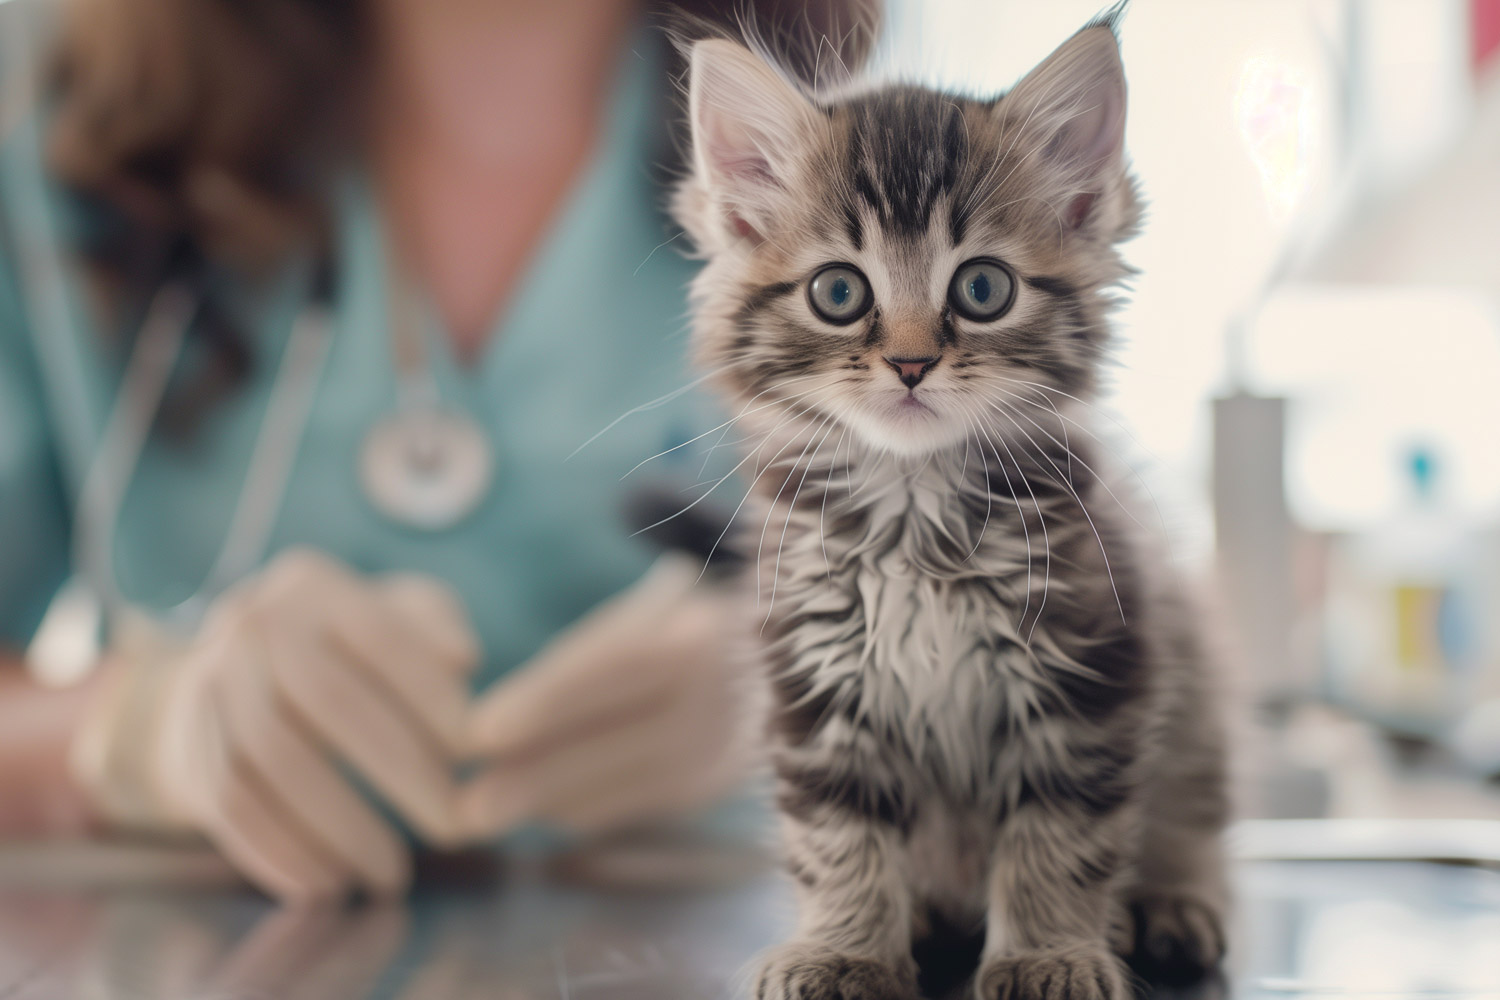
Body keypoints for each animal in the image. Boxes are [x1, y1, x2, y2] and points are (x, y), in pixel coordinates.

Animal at [672, 9, 1230, 1000]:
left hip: (1197, 720)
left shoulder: (1090, 675)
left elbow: (1058, 840)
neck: (913, 515)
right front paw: (845, 949)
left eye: (982, 289)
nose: (909, 363)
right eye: (838, 291)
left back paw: (1170, 907)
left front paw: (1046, 955)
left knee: (1192, 826)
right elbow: (840, 839)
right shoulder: (817, 686)